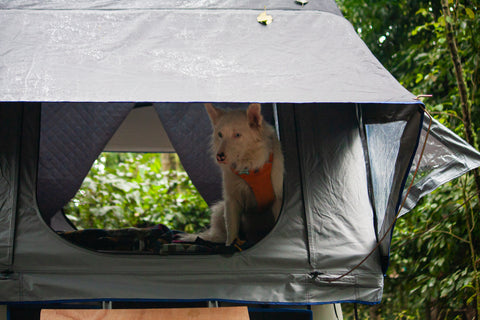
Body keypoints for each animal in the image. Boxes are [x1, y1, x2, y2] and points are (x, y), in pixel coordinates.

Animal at [178, 103, 284, 245]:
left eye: (237, 135)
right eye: (220, 134)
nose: (219, 156)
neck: (248, 166)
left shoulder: (278, 199)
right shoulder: (231, 201)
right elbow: (232, 233)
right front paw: (230, 246)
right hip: (219, 210)